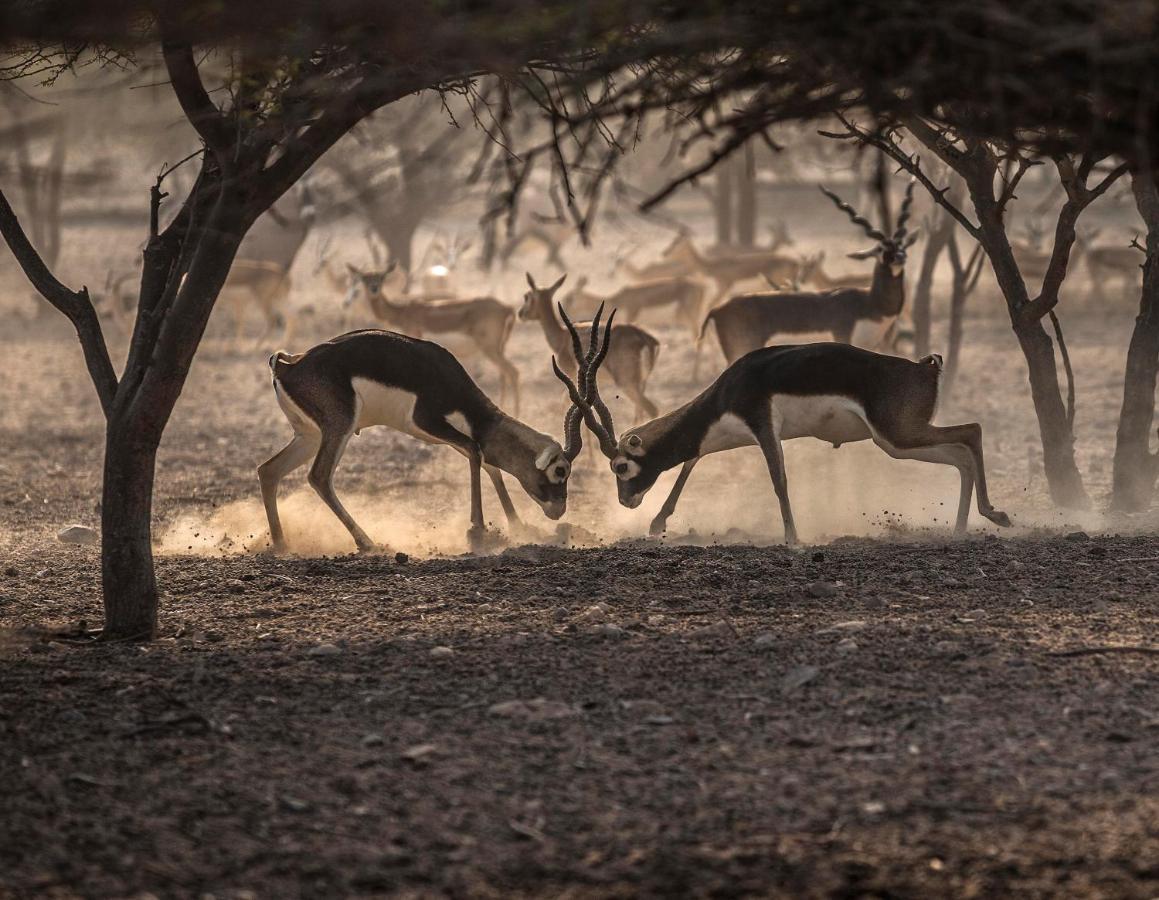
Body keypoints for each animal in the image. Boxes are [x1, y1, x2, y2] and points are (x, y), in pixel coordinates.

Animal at [260, 319, 607, 551]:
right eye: (561, 470)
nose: (558, 509)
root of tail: (287, 365)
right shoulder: (427, 421)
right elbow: (476, 452)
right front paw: (478, 530)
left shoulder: (449, 433)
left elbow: (486, 460)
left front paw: (519, 526)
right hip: (339, 427)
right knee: (319, 477)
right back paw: (367, 542)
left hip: (310, 436)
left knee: (268, 470)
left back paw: (281, 544)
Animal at [345, 261, 519, 412]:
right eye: (364, 278)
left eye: (382, 277)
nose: (374, 288)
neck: (402, 311)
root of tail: (506, 308)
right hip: (498, 348)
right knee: (504, 374)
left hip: (490, 348)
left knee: (512, 371)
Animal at [519, 272, 662, 419]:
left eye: (527, 296)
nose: (520, 313)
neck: (562, 336)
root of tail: (646, 338)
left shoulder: (571, 373)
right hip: (641, 383)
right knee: (640, 412)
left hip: (627, 383)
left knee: (651, 409)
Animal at [556, 319, 1010, 539]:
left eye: (621, 466)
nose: (626, 501)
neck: (729, 389)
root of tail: (925, 367)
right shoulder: (723, 435)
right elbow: (690, 463)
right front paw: (657, 524)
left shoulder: (763, 427)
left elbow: (779, 480)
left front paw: (793, 537)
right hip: (899, 441)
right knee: (961, 456)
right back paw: (961, 529)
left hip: (897, 435)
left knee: (972, 431)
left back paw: (996, 515)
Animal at [700, 179, 917, 366]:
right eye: (881, 249)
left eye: (902, 245)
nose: (900, 257)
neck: (870, 303)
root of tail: (717, 310)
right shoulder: (843, 337)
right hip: (740, 350)